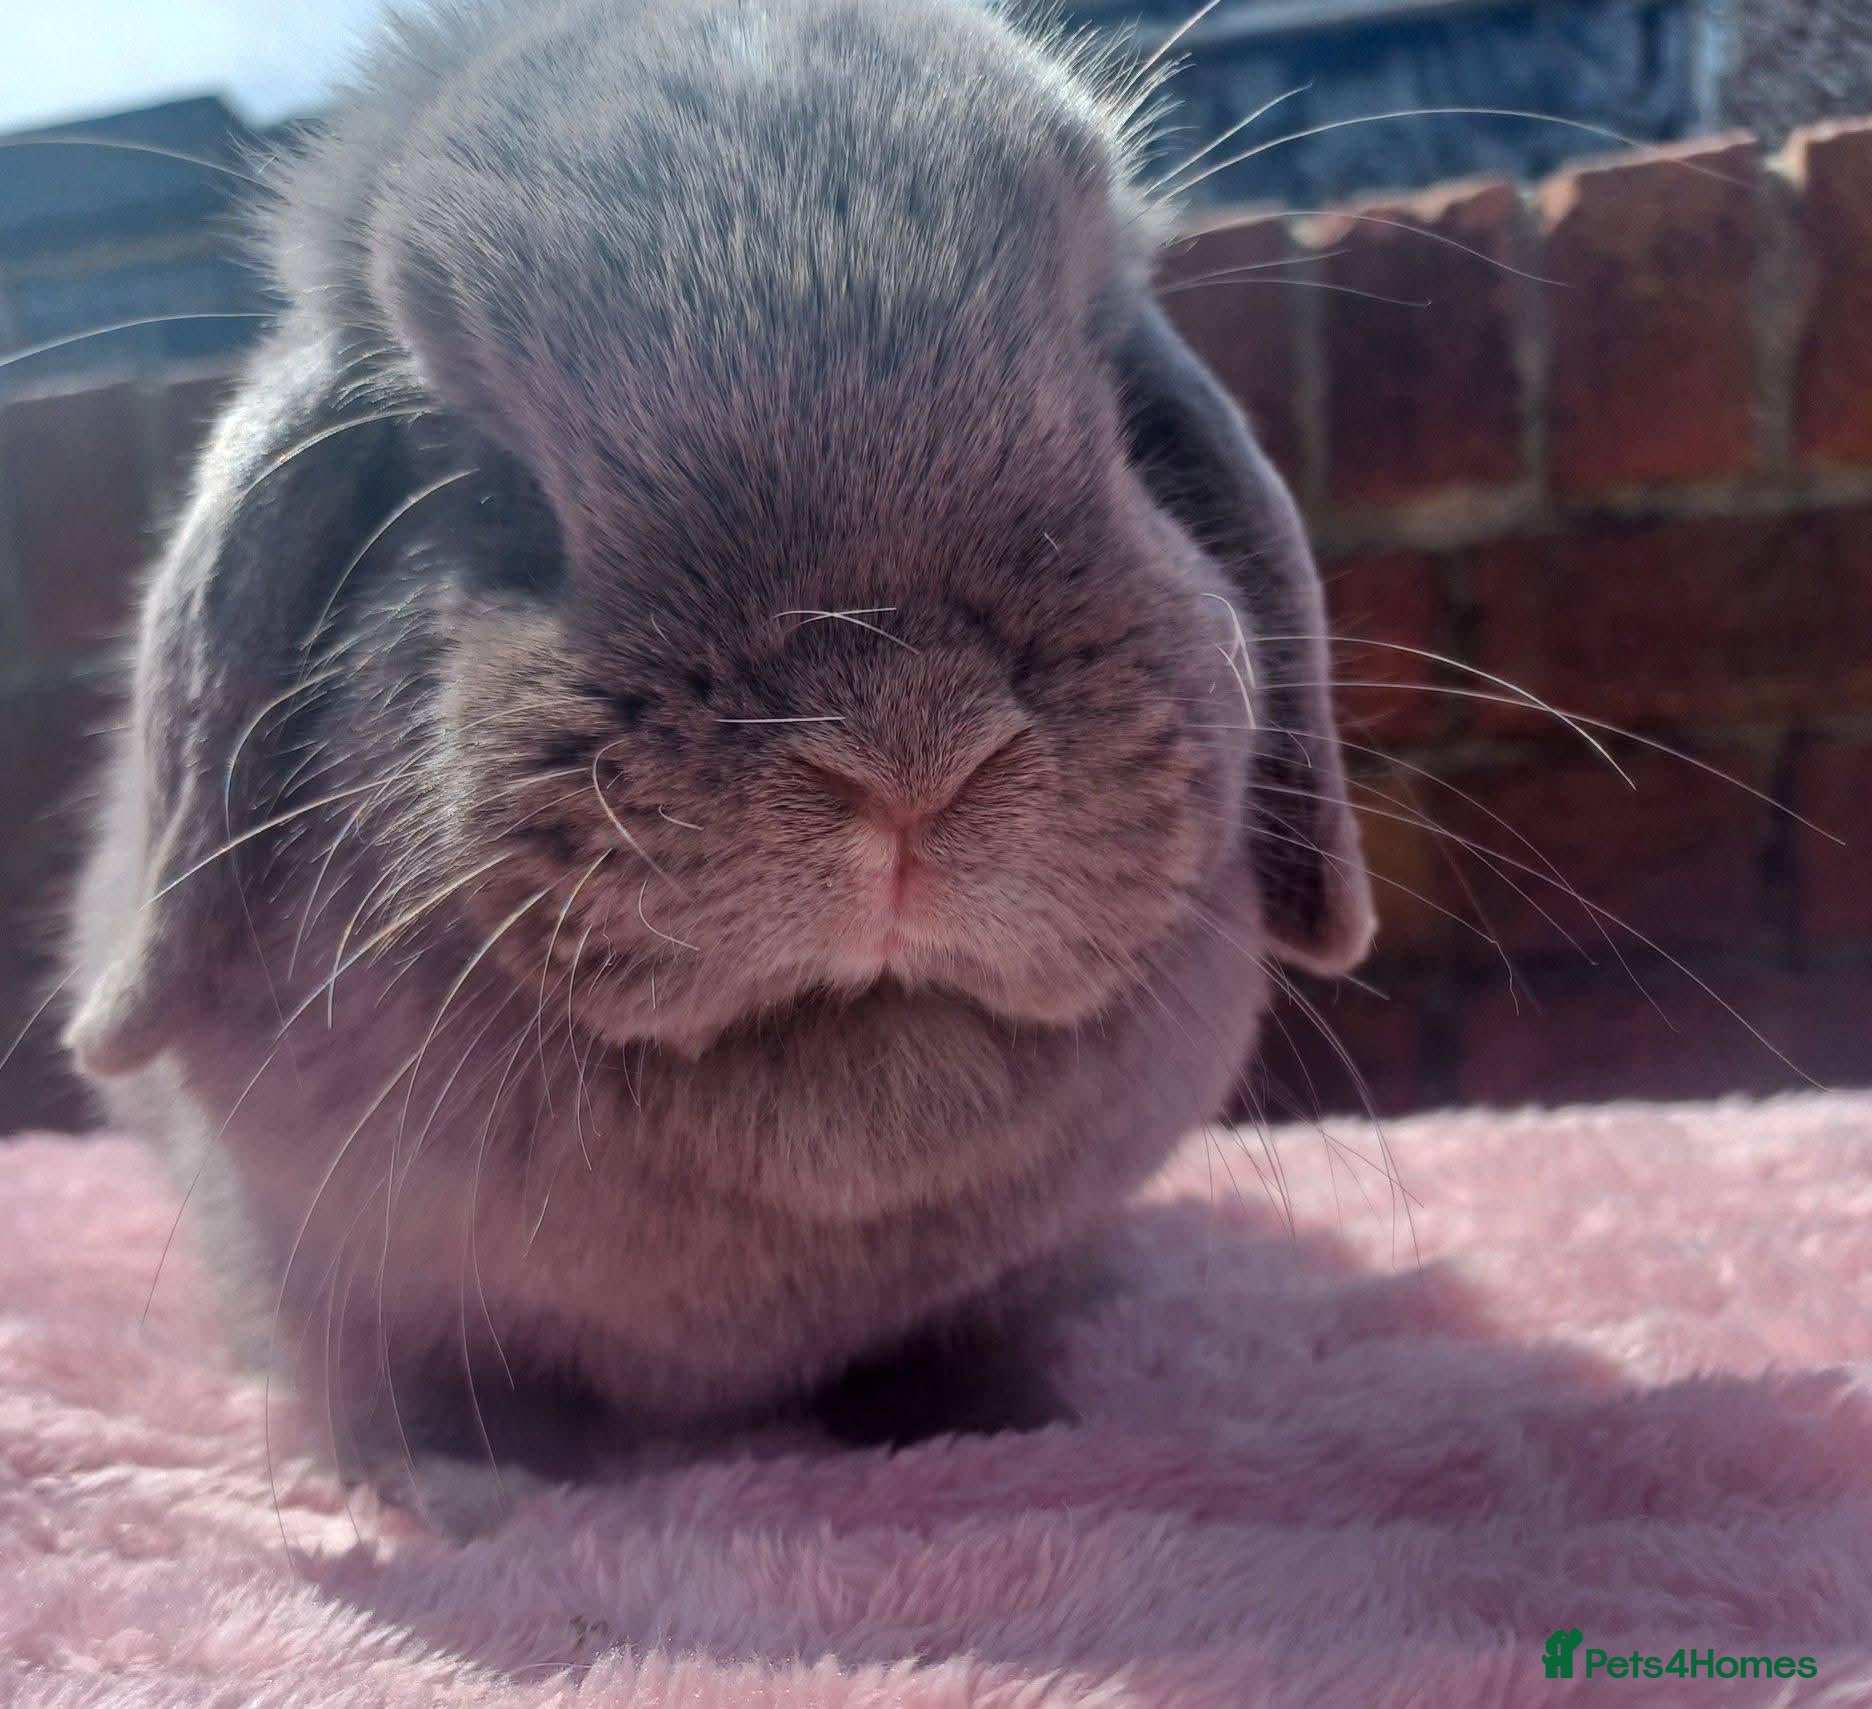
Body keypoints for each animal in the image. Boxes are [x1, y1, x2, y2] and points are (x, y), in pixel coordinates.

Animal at [62, 0, 1374, 1535]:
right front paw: (464, 1488)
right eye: (481, 490)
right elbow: (406, 1380)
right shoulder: (322, 1261)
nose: (906, 751)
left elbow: (963, 1343)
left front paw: (1001, 1424)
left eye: (1113, 419)